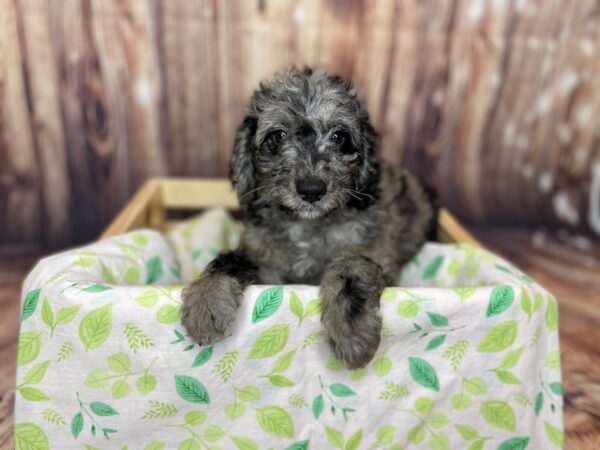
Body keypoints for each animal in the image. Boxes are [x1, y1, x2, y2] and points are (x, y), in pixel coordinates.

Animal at [180, 67, 438, 370]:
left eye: (338, 136)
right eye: (278, 135)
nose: (312, 189)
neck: (305, 224)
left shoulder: (371, 252)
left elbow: (351, 274)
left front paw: (352, 335)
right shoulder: (263, 257)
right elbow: (231, 259)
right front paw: (205, 304)